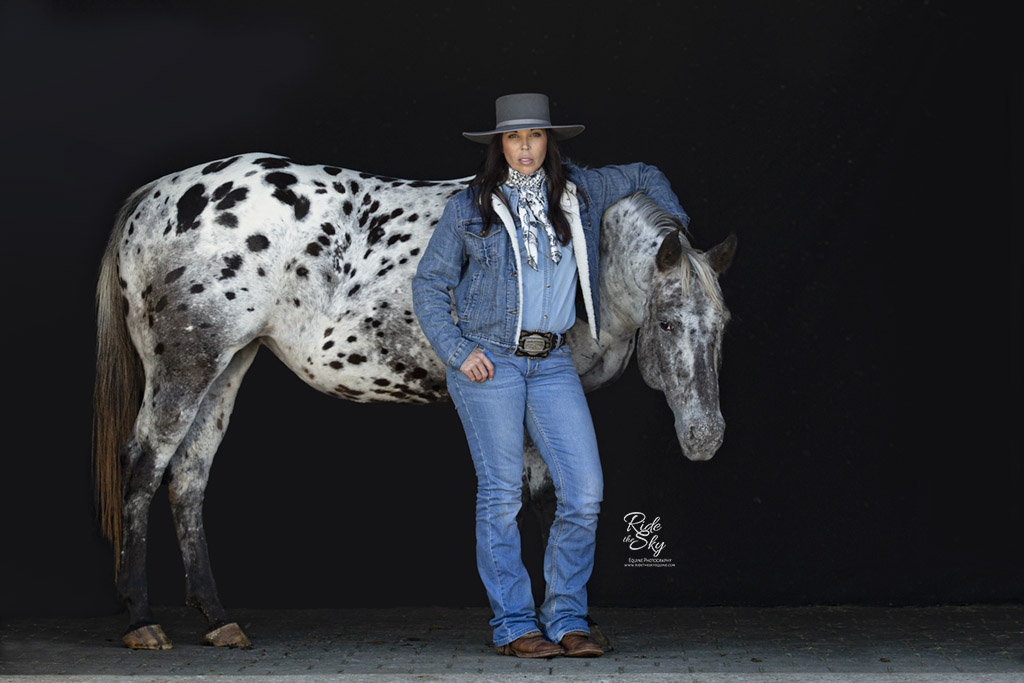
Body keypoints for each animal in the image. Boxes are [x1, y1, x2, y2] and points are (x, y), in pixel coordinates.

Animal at [94, 150, 737, 651]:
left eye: (722, 325)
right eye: (669, 325)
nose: (706, 438)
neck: (589, 260)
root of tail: (155, 197)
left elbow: (547, 497)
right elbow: (544, 500)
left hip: (228, 364)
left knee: (188, 477)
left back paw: (217, 618)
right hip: (187, 364)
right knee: (143, 466)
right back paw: (142, 619)